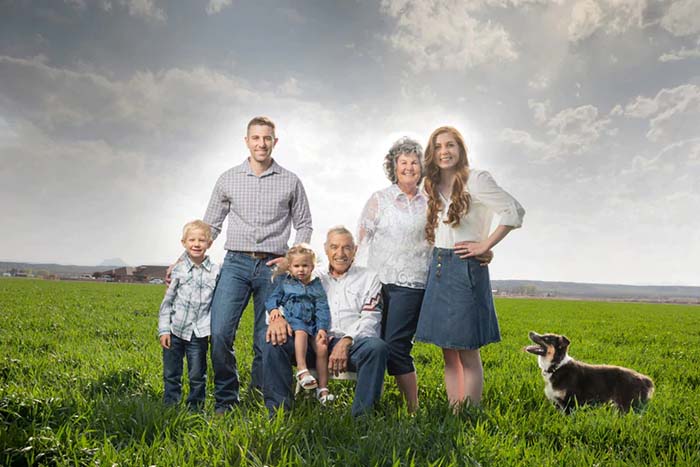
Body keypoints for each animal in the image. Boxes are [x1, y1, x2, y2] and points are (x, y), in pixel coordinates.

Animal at [524, 332, 656, 414]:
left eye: (546, 338)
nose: (531, 332)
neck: (556, 366)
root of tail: (646, 380)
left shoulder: (570, 404)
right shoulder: (558, 404)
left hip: (629, 406)